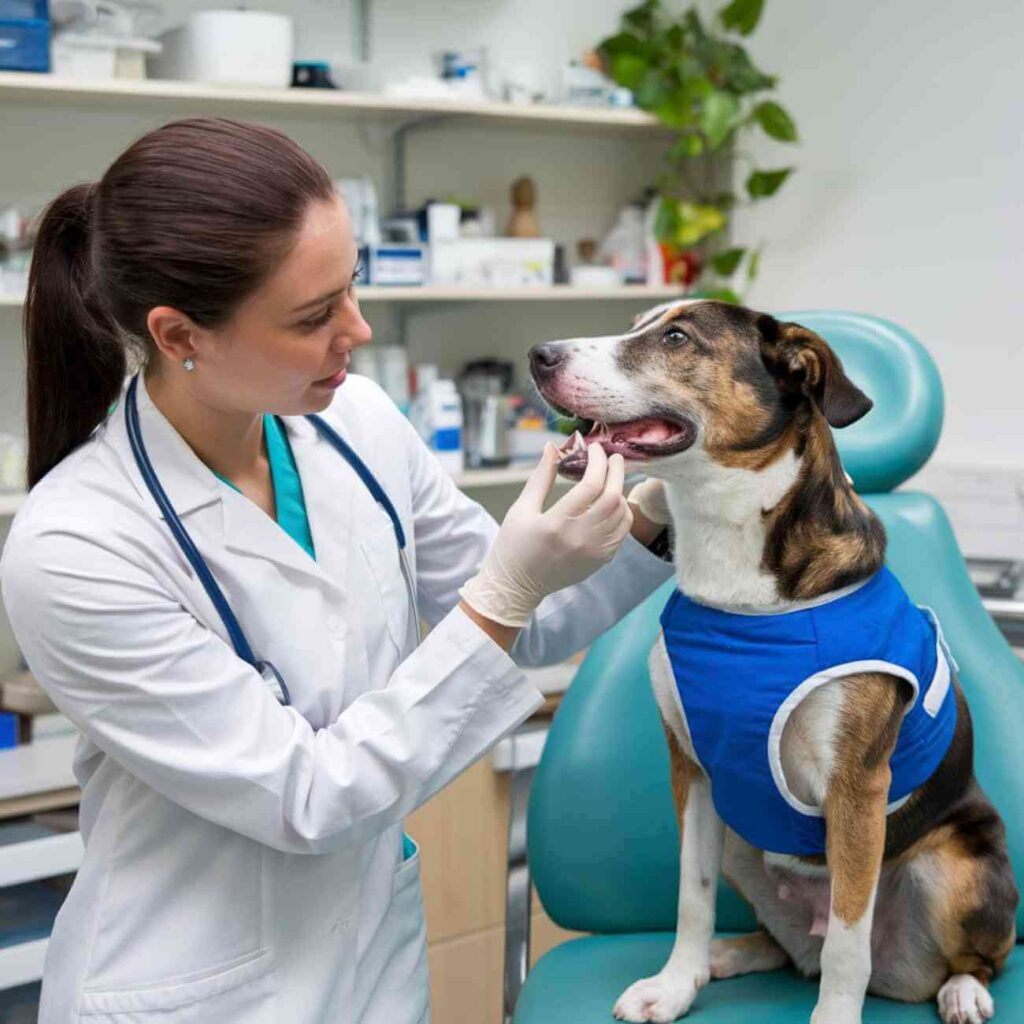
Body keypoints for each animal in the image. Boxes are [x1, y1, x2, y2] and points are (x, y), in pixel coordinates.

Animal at [528, 299, 1015, 1024]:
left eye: (677, 337)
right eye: (638, 322)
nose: (539, 356)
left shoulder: (856, 790)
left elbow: (848, 940)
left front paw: (834, 1018)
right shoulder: (694, 774)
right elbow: (692, 898)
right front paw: (677, 984)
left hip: (954, 867)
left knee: (963, 956)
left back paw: (962, 991)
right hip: (741, 837)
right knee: (790, 950)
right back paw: (725, 958)